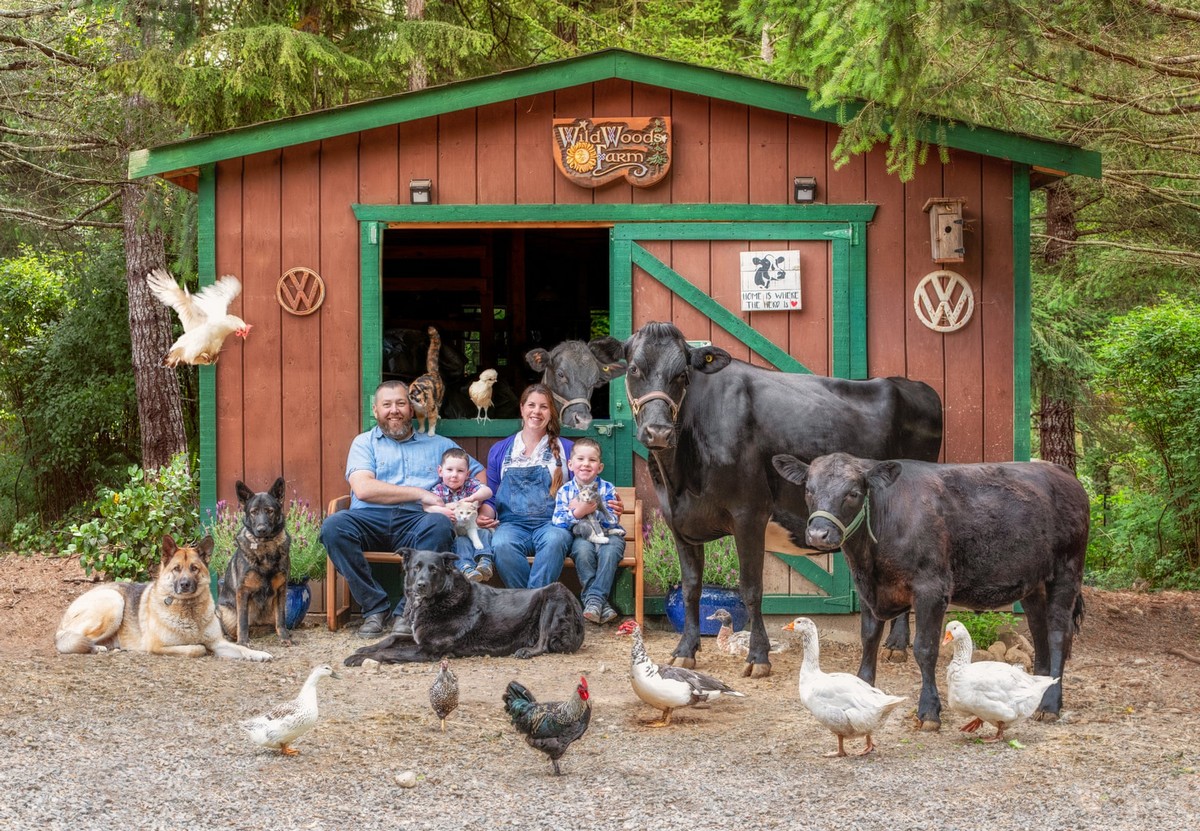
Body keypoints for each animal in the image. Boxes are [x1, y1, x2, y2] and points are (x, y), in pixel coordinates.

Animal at [343, 547, 585, 667]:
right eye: (416, 568)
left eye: (434, 569)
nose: (421, 585)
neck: (440, 599)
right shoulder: (417, 637)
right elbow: (391, 638)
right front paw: (364, 649)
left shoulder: (426, 650)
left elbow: (387, 652)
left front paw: (358, 659)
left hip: (553, 594)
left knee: (543, 643)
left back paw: (527, 650)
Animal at [619, 321, 945, 677]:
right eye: (633, 369)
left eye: (682, 374)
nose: (658, 431)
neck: (680, 478)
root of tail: (914, 385)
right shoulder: (678, 521)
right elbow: (691, 587)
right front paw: (685, 650)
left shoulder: (749, 513)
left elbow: (751, 589)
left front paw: (758, 657)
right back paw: (895, 644)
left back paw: (898, 644)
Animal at [772, 451, 1094, 730]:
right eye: (809, 490)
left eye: (852, 492)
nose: (819, 534)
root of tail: (1060, 471)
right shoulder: (867, 591)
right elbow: (869, 641)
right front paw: (864, 690)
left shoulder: (931, 588)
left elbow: (925, 649)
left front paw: (928, 711)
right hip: (1034, 582)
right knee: (1040, 632)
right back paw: (1040, 690)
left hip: (1066, 571)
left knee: (1058, 634)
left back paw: (1050, 705)